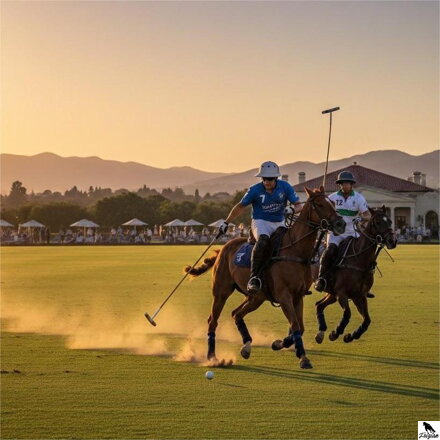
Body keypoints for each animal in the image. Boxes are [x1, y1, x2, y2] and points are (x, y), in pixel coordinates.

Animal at [185, 186, 346, 369]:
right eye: (319, 204)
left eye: (333, 202)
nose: (341, 224)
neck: (296, 251)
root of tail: (223, 248)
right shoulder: (284, 296)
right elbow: (295, 325)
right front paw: (303, 358)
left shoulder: (298, 297)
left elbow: (300, 326)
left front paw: (279, 344)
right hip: (221, 292)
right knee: (213, 320)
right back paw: (213, 357)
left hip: (256, 297)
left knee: (236, 313)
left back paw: (246, 346)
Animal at [314, 206, 397, 344]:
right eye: (377, 222)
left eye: (390, 221)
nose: (392, 241)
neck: (359, 260)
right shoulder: (342, 293)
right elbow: (347, 314)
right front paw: (335, 333)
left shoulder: (359, 296)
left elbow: (367, 320)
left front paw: (351, 336)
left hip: (331, 294)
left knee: (319, 305)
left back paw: (320, 334)